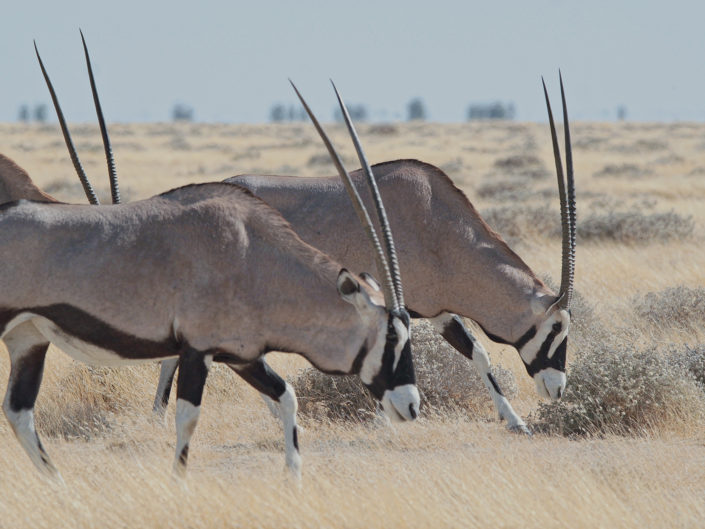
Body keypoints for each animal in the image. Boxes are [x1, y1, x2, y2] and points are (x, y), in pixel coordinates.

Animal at [0, 81, 418, 478]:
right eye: (390, 338)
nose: (412, 405)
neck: (253, 255)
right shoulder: (196, 350)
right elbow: (188, 419)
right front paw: (178, 484)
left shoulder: (241, 355)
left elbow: (287, 397)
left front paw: (293, 480)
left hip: (29, 339)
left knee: (19, 412)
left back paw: (60, 488)